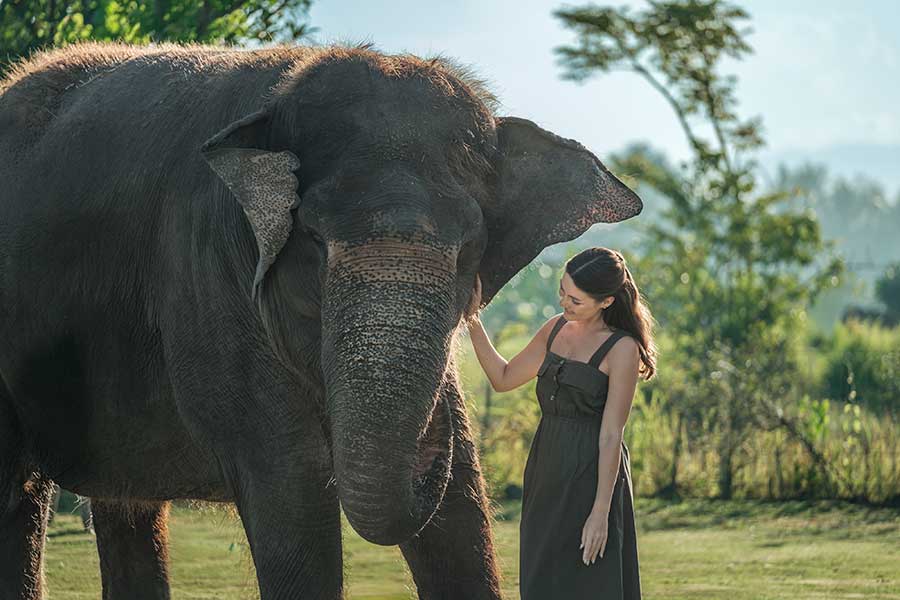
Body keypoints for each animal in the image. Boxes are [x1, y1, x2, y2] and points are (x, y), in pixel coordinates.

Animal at [0, 41, 642, 599]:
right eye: (313, 240)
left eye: (468, 251)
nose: (435, 433)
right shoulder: (210, 279)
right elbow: (293, 498)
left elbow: (459, 513)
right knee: (18, 496)